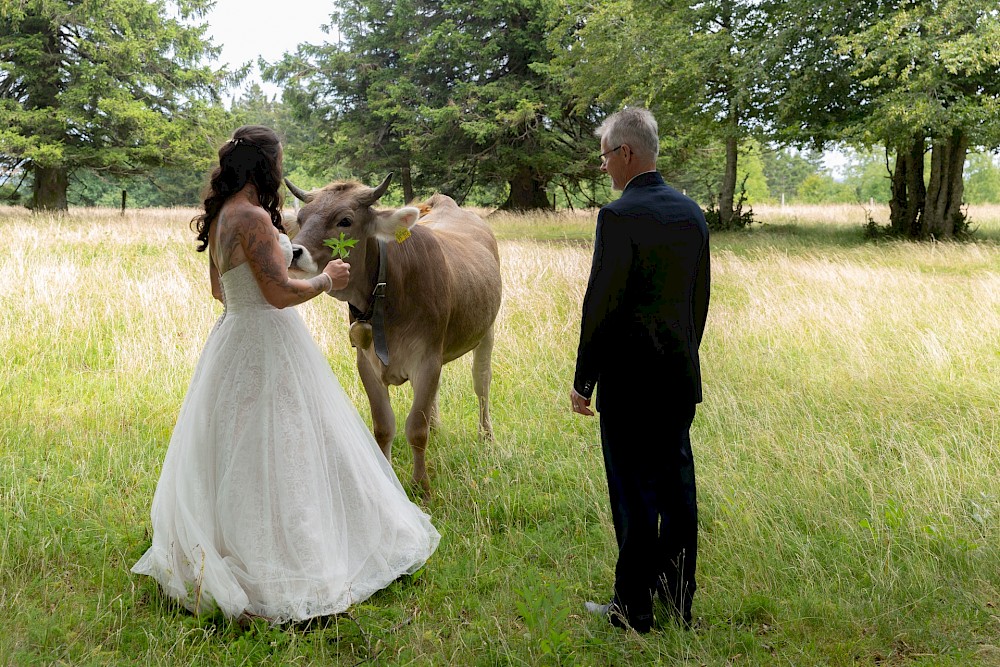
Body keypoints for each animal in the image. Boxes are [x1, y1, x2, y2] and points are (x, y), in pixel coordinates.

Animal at [286, 175, 504, 498]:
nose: (294, 252)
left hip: (486, 331)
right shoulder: (366, 362)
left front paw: (421, 487)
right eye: (301, 219)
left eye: (344, 220)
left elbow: (416, 428)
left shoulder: (427, 360)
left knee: (482, 385)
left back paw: (486, 436)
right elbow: (383, 426)